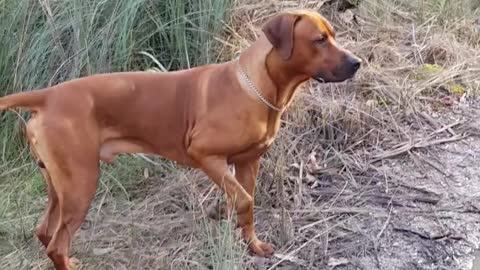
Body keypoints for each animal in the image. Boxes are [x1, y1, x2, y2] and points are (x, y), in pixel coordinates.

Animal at [0, 9, 360, 268]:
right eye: (319, 40)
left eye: (333, 36)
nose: (357, 62)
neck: (260, 87)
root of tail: (48, 96)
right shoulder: (205, 155)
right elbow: (245, 199)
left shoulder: (248, 163)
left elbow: (246, 203)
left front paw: (252, 244)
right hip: (81, 183)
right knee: (57, 244)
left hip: (61, 185)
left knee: (45, 232)